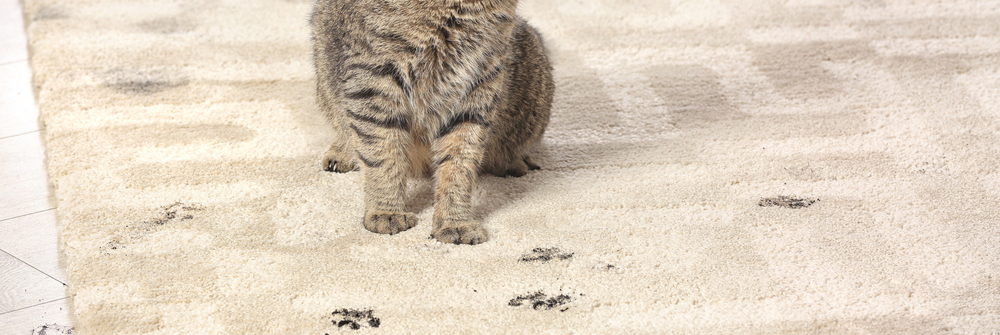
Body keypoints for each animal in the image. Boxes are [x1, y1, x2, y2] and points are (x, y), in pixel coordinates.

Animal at [310, 0, 556, 245]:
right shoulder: (374, 80)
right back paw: (342, 153)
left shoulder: (477, 83)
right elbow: (383, 154)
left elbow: (459, 164)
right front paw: (386, 210)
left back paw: (513, 161)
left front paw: (455, 221)